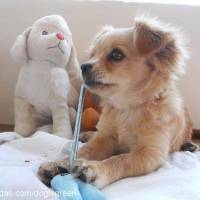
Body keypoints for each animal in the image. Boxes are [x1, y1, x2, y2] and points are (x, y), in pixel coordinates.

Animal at [38, 16, 194, 189]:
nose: (83, 66)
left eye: (116, 54)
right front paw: (60, 163)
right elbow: (85, 151)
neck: (126, 108)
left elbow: (121, 160)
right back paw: (86, 135)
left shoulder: (150, 153)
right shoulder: (106, 138)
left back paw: (190, 145)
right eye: (93, 55)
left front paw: (96, 169)